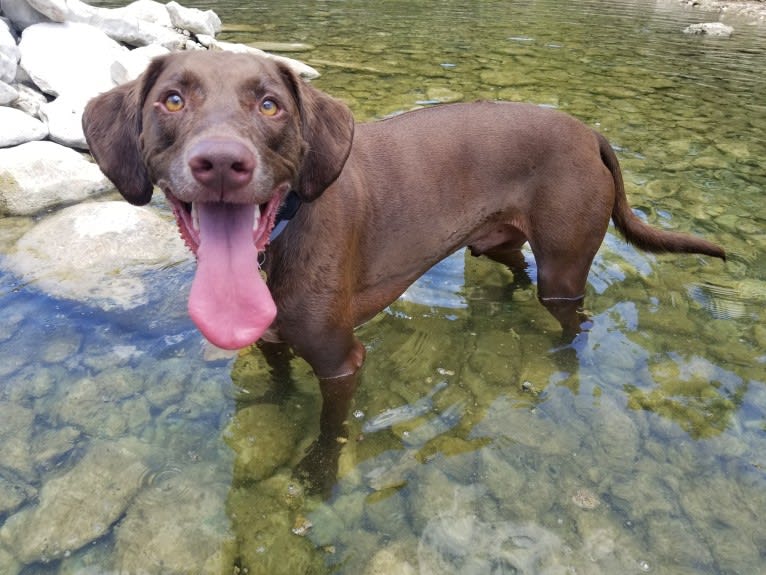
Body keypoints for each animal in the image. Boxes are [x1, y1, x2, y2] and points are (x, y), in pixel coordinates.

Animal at [84, 51, 728, 482]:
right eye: (173, 99)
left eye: (270, 105)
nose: (221, 163)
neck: (277, 245)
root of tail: (589, 130)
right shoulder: (271, 339)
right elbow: (280, 382)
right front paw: (276, 407)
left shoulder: (342, 362)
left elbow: (331, 428)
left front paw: (318, 474)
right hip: (493, 242)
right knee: (515, 269)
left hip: (564, 271)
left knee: (572, 316)